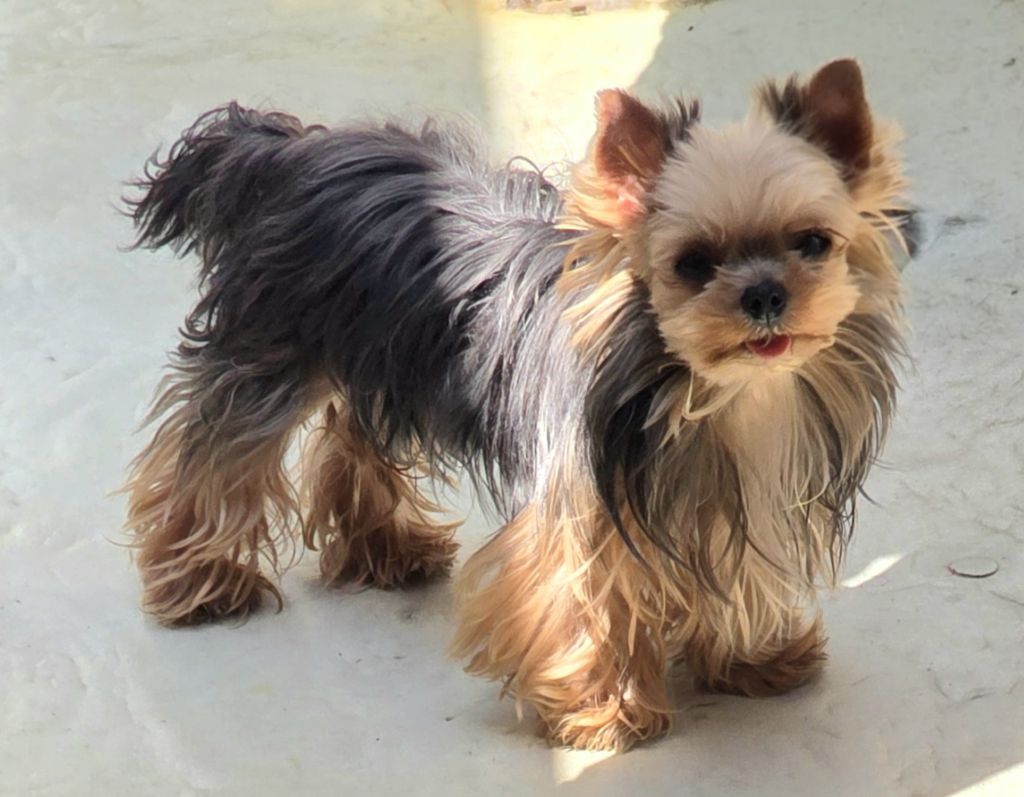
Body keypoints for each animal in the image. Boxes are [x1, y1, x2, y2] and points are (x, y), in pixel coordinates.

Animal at [124, 58, 910, 751]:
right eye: (691, 263)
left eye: (813, 242)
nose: (765, 295)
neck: (719, 396)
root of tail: (289, 148)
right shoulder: (586, 505)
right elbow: (579, 596)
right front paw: (605, 709)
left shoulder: (732, 493)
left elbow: (731, 567)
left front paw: (749, 659)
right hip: (271, 355)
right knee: (215, 450)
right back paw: (202, 579)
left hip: (382, 355)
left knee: (354, 431)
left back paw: (383, 546)